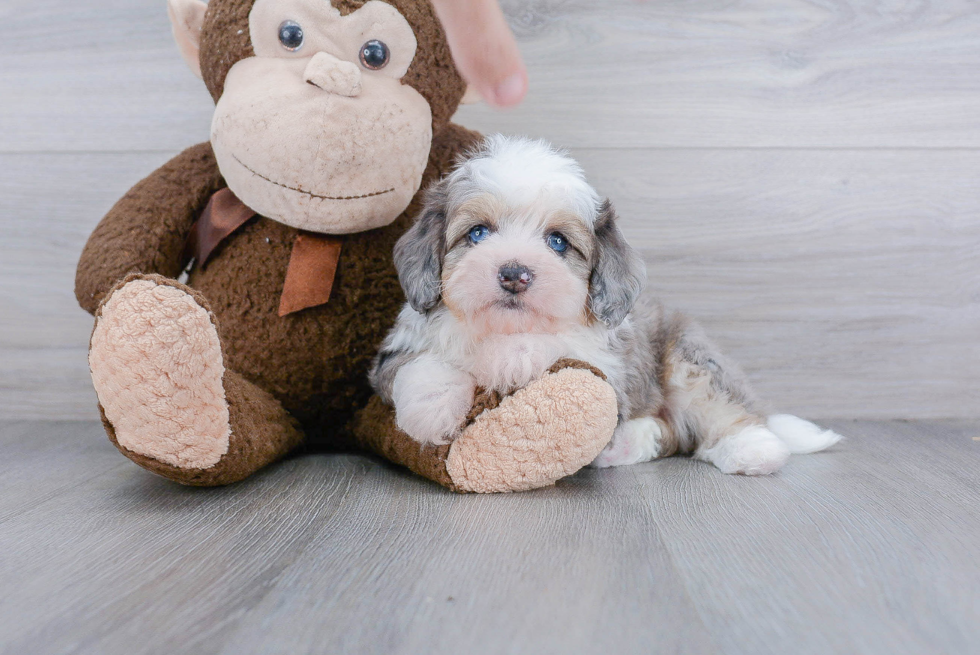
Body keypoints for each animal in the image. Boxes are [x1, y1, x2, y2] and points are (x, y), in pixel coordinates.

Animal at [370, 136, 844, 474]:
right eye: (478, 233)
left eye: (557, 242)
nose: (514, 274)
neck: (498, 327)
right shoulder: (392, 355)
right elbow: (418, 366)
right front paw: (430, 411)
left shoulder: (607, 364)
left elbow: (557, 345)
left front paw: (510, 357)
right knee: (670, 433)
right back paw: (627, 444)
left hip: (688, 356)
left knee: (724, 410)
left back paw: (752, 450)